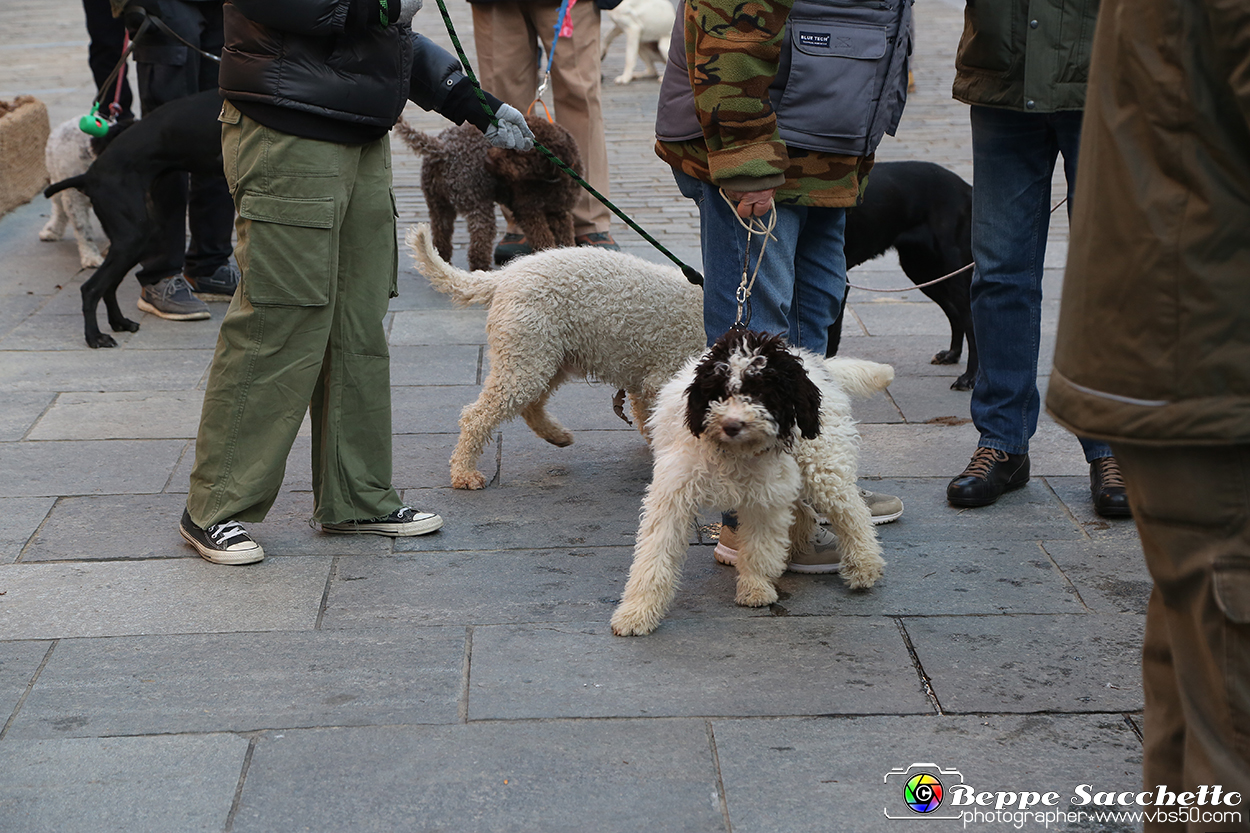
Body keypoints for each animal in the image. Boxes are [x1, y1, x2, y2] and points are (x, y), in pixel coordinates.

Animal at [45, 90, 226, 347]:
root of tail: (89, 176)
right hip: (131, 239)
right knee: (91, 289)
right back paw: (94, 337)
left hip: (136, 241)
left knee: (108, 287)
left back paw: (119, 323)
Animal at [407, 223, 710, 490]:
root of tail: (505, 275)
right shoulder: (662, 376)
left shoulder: (645, 383)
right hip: (527, 357)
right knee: (476, 416)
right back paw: (464, 473)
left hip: (547, 358)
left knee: (530, 406)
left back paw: (557, 435)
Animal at [612, 327, 890, 632]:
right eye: (720, 391)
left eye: (760, 391)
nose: (732, 425)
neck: (733, 452)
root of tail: (815, 363)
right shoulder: (674, 492)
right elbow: (655, 554)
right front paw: (637, 611)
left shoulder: (764, 498)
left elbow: (759, 548)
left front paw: (755, 588)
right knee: (806, 513)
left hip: (821, 464)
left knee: (852, 512)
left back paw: (864, 565)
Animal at [830, 161, 975, 390]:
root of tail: (966, 187)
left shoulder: (838, 286)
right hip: (923, 272)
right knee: (954, 313)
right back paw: (952, 354)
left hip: (952, 272)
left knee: (969, 319)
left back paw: (969, 377)